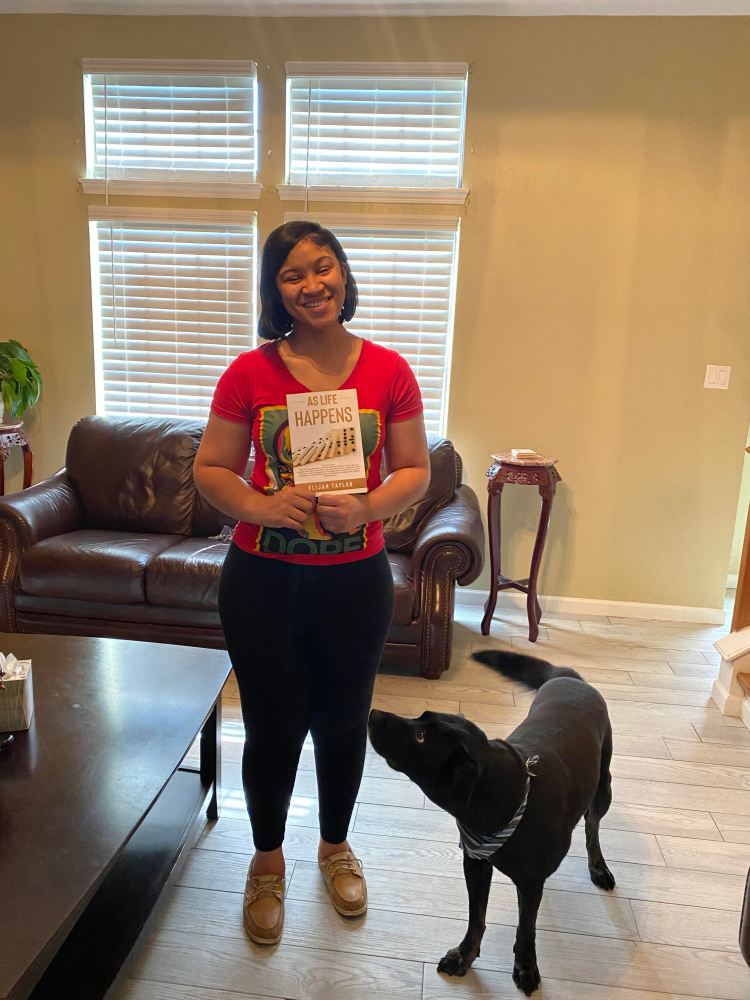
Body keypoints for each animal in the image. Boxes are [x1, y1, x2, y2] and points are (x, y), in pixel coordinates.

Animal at [368, 649, 615, 995]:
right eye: (419, 720)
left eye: (420, 737)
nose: (372, 713)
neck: (506, 801)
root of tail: (568, 678)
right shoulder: (475, 863)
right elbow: (477, 917)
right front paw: (464, 956)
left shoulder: (528, 882)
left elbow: (526, 928)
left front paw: (525, 966)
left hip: (603, 787)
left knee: (593, 828)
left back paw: (598, 867)